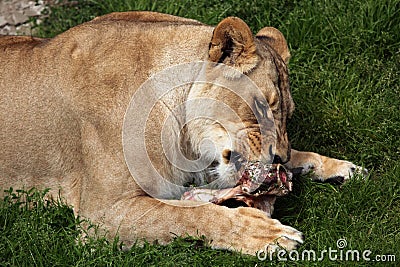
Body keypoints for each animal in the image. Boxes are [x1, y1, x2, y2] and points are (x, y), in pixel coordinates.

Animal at [0, 12, 366, 255]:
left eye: (288, 114)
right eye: (262, 108)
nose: (279, 158)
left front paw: (339, 168)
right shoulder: (100, 216)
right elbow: (186, 214)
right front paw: (264, 233)